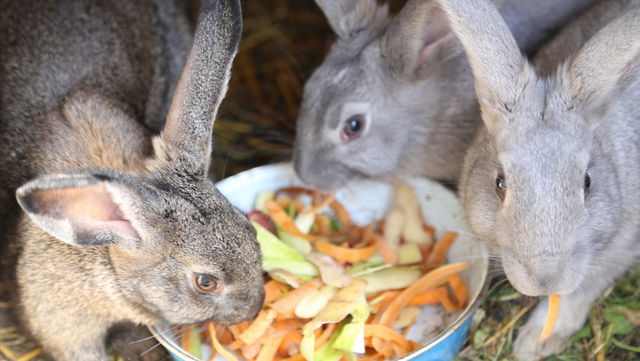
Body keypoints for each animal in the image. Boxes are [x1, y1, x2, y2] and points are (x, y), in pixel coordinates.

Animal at [436, 0, 640, 358]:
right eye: (499, 183)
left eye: (587, 182)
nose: (545, 280)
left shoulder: (621, 247)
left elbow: (578, 293)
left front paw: (533, 344)